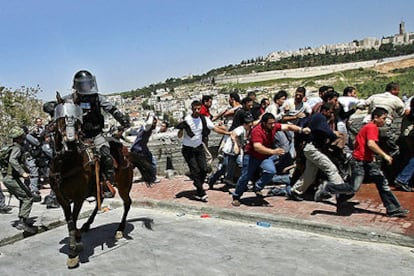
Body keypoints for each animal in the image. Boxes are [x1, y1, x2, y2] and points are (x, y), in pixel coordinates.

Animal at [47, 96, 133, 268]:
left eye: (77, 119)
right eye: (60, 118)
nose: (70, 142)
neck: (66, 163)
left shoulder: (78, 197)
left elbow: (73, 219)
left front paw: (73, 251)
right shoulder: (62, 198)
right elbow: (70, 221)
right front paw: (75, 242)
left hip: (124, 185)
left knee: (127, 203)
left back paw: (119, 229)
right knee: (101, 199)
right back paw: (86, 225)